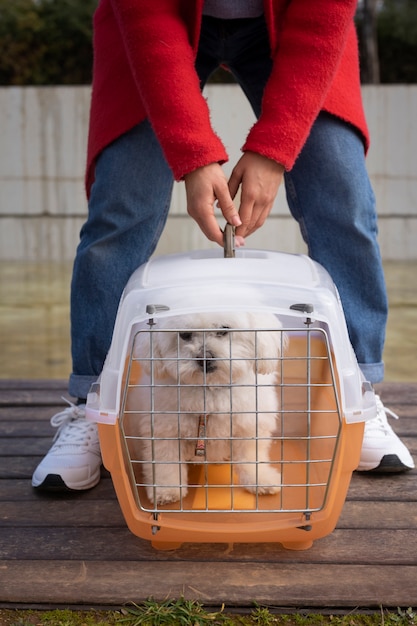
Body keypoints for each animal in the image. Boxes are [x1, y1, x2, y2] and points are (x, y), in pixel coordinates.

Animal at [127, 310, 286, 504]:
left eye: (224, 329)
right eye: (185, 334)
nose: (205, 358)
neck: (209, 389)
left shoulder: (249, 427)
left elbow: (250, 457)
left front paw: (261, 479)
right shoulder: (164, 432)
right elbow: (166, 463)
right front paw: (166, 490)